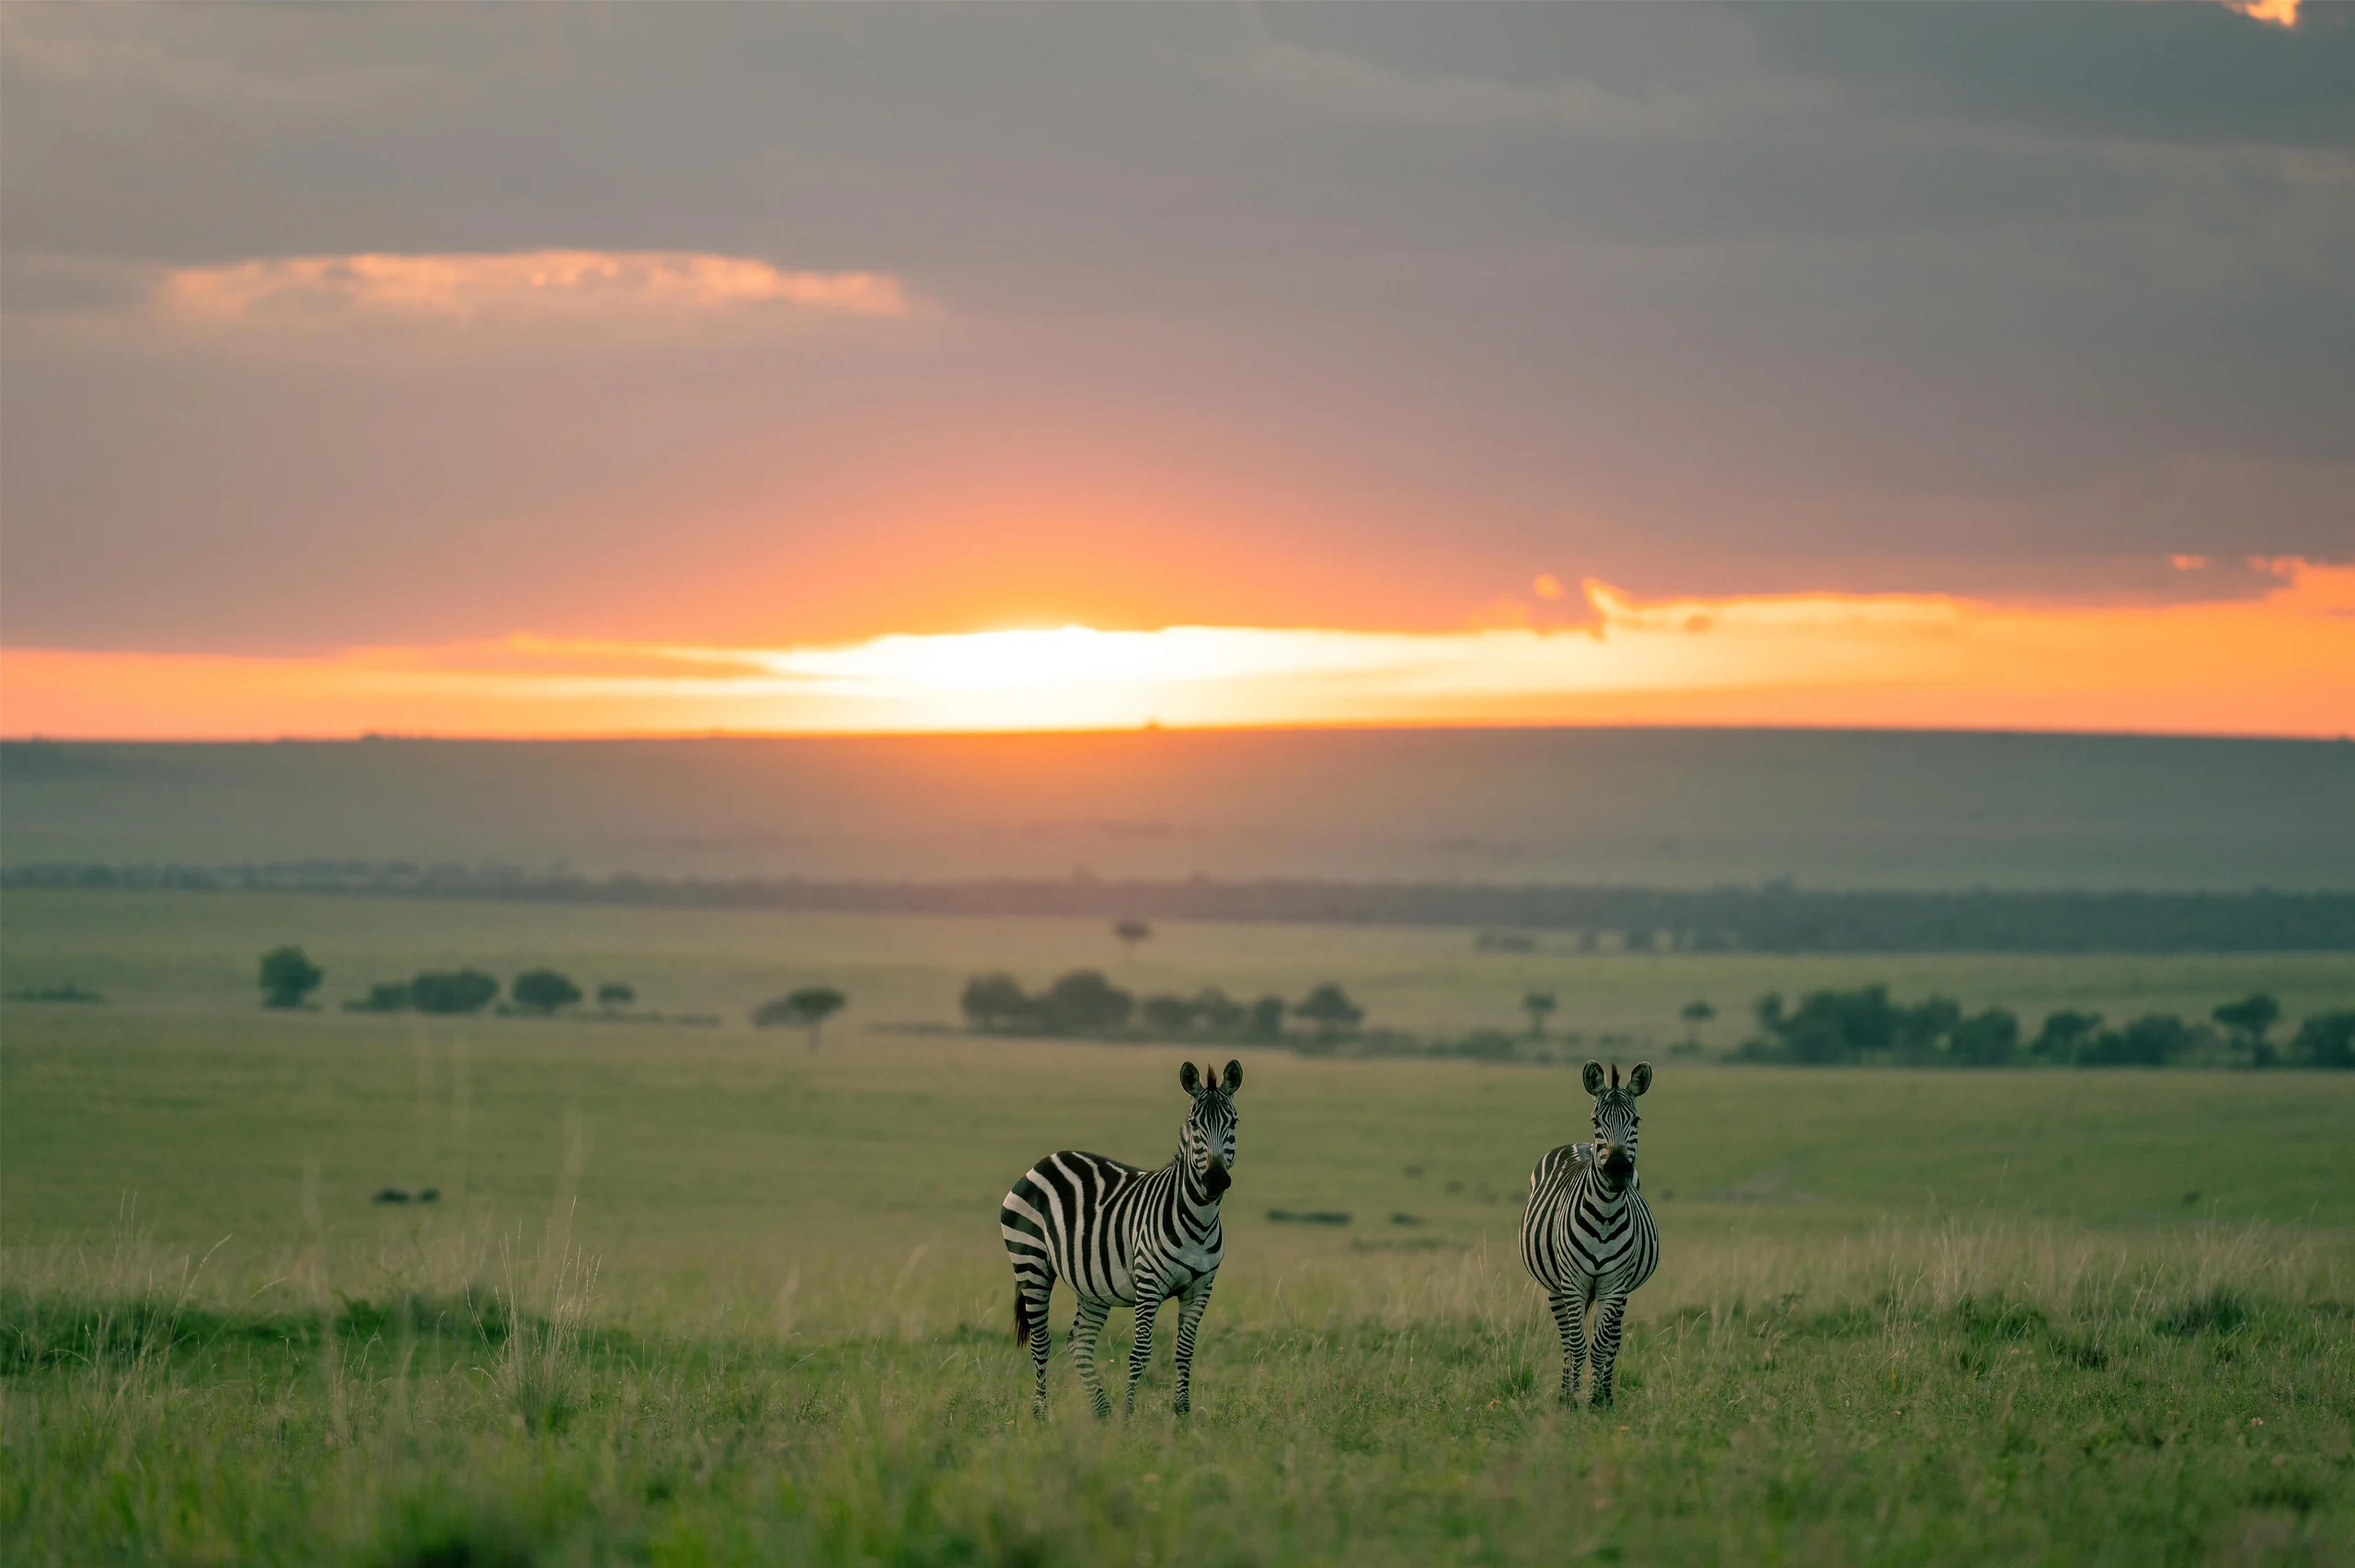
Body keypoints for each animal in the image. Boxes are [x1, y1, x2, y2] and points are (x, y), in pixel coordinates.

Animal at [1000, 1058, 1240, 1417]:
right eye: (1194, 1124)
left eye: (1233, 1122)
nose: (1215, 1179)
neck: (1200, 1220)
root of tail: (1046, 1160)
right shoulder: (1150, 1284)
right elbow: (1140, 1351)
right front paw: (1128, 1415)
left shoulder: (1201, 1288)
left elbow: (1185, 1350)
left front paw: (1182, 1414)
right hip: (1031, 1263)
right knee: (1042, 1342)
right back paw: (1042, 1415)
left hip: (1091, 1284)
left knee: (1080, 1342)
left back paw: (1101, 1412)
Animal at [1521, 1059, 1658, 1406]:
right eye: (1596, 1120)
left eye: (1636, 1120)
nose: (1619, 1169)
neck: (1606, 1214)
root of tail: (1578, 1144)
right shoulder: (1573, 1283)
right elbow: (1577, 1344)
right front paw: (1571, 1400)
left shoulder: (1614, 1285)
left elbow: (1601, 1346)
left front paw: (1598, 1400)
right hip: (1557, 1286)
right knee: (1568, 1338)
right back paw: (1565, 1392)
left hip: (1620, 1292)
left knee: (1613, 1340)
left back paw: (1605, 1392)